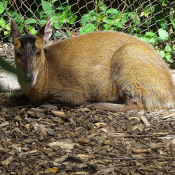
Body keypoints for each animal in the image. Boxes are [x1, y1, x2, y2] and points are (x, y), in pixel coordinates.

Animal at [10, 18, 174, 110]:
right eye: (17, 53)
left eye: (38, 52)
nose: (28, 77)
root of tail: (170, 96)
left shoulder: (74, 93)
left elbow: (45, 102)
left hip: (128, 66)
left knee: (135, 106)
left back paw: (94, 105)